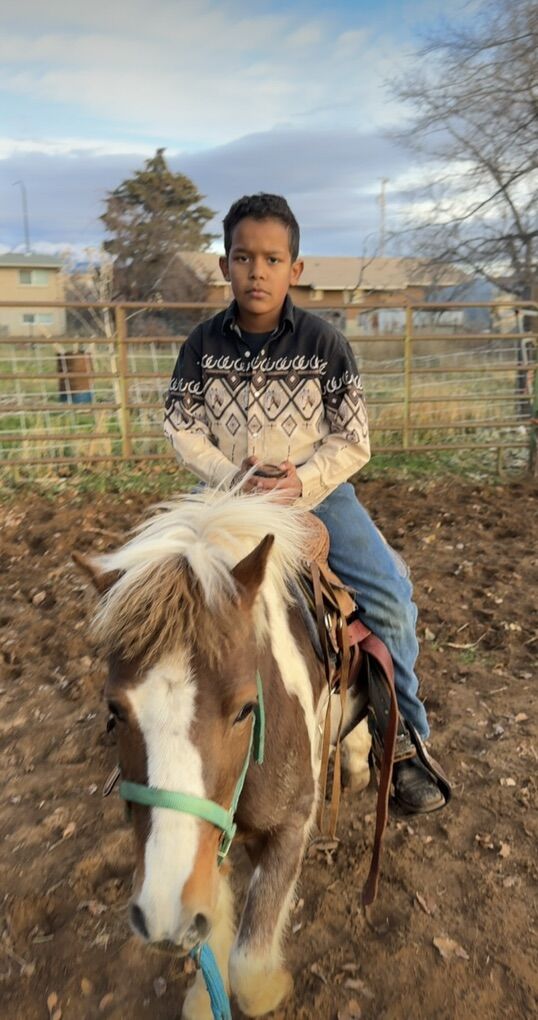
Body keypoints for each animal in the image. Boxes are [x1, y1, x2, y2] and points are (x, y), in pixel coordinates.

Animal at [78, 487, 372, 1019]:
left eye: (245, 709)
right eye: (114, 709)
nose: (160, 918)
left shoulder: (291, 824)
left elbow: (249, 967)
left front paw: (273, 986)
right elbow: (211, 935)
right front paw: (202, 996)